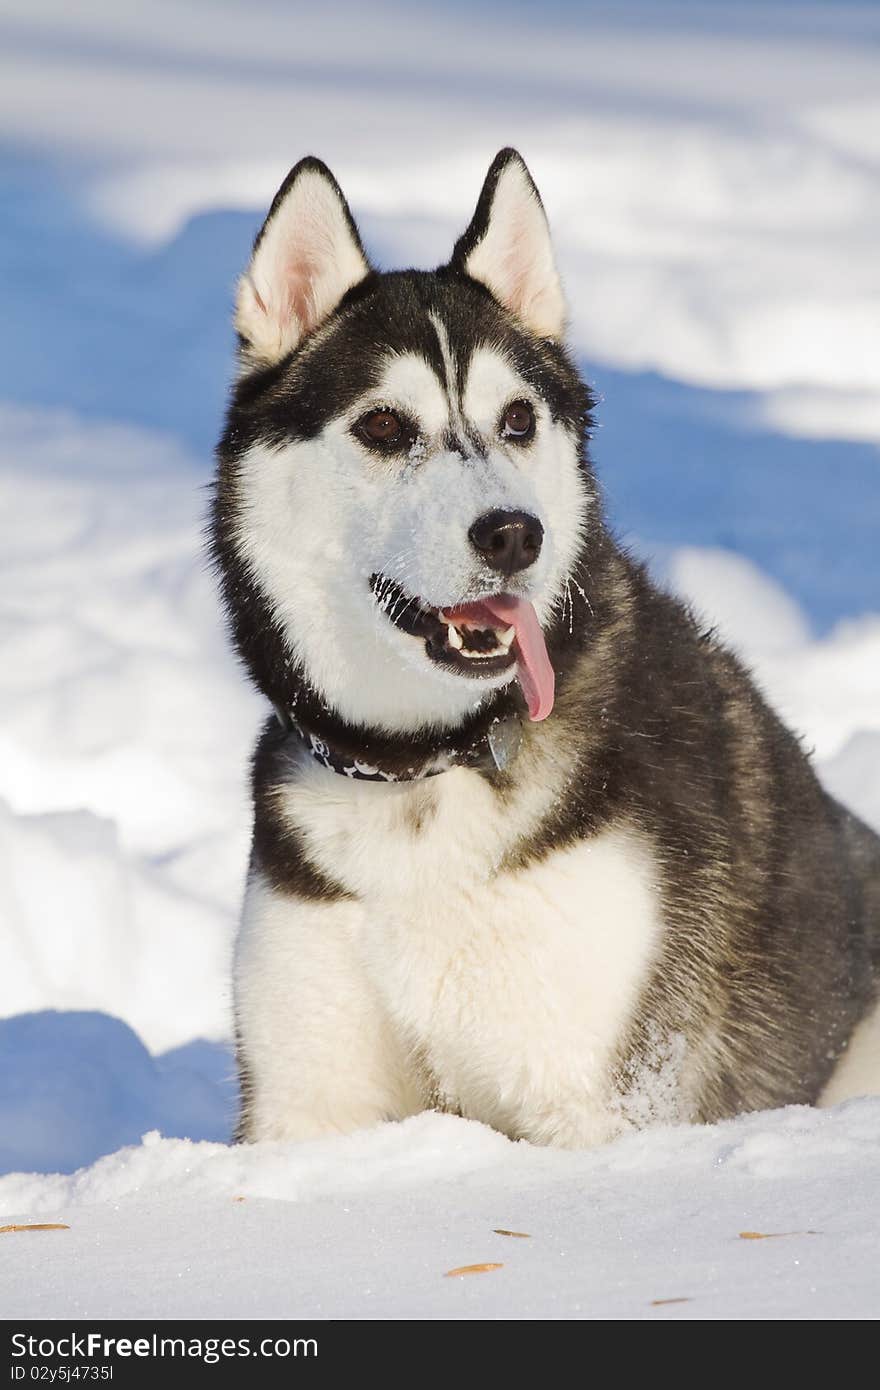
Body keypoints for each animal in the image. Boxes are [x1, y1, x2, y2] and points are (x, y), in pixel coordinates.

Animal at [214, 146, 878, 1145]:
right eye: (383, 425)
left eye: (520, 420)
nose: (512, 534)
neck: (427, 769)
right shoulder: (306, 1100)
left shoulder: (597, 1094)